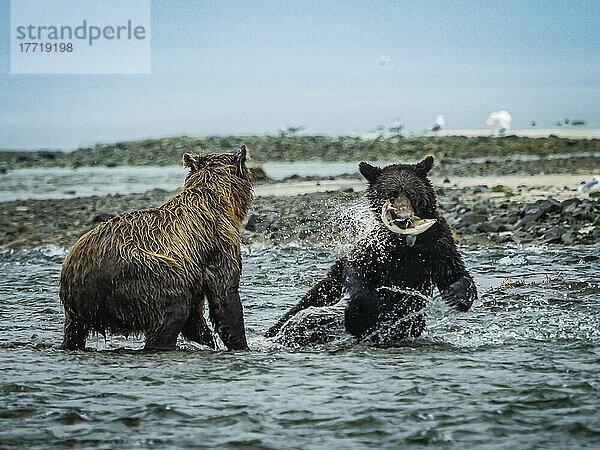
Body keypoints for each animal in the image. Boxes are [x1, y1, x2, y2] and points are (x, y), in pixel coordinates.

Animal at [61, 146, 255, 350]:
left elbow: (197, 312)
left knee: (75, 331)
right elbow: (225, 293)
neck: (221, 200)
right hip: (143, 276)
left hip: (79, 304)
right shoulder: (219, 241)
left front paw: (207, 338)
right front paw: (241, 344)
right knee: (172, 312)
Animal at [268, 156, 478, 342]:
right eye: (391, 194)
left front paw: (455, 295)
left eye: (411, 194)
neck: (407, 242)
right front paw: (357, 317)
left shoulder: (436, 245)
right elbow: (356, 271)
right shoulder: (378, 251)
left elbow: (455, 270)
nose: (404, 218)